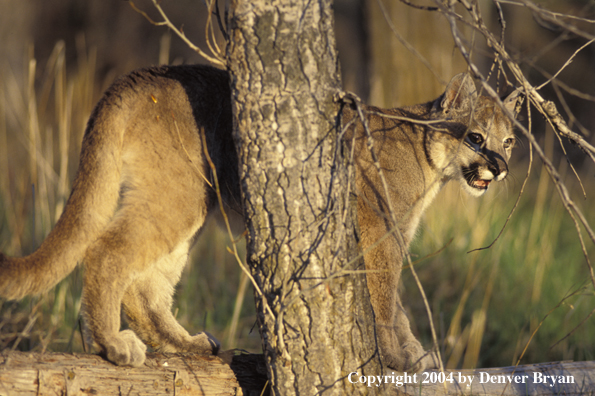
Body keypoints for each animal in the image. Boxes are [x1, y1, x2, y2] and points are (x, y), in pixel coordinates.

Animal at [0, 64, 520, 372]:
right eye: (476, 137)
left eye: (510, 140)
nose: (500, 166)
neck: (432, 165)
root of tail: (138, 77)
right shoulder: (379, 229)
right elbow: (386, 296)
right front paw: (398, 358)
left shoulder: (392, 232)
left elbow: (396, 302)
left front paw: (415, 353)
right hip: (178, 196)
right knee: (107, 252)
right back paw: (111, 345)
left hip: (188, 202)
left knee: (145, 286)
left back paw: (188, 345)